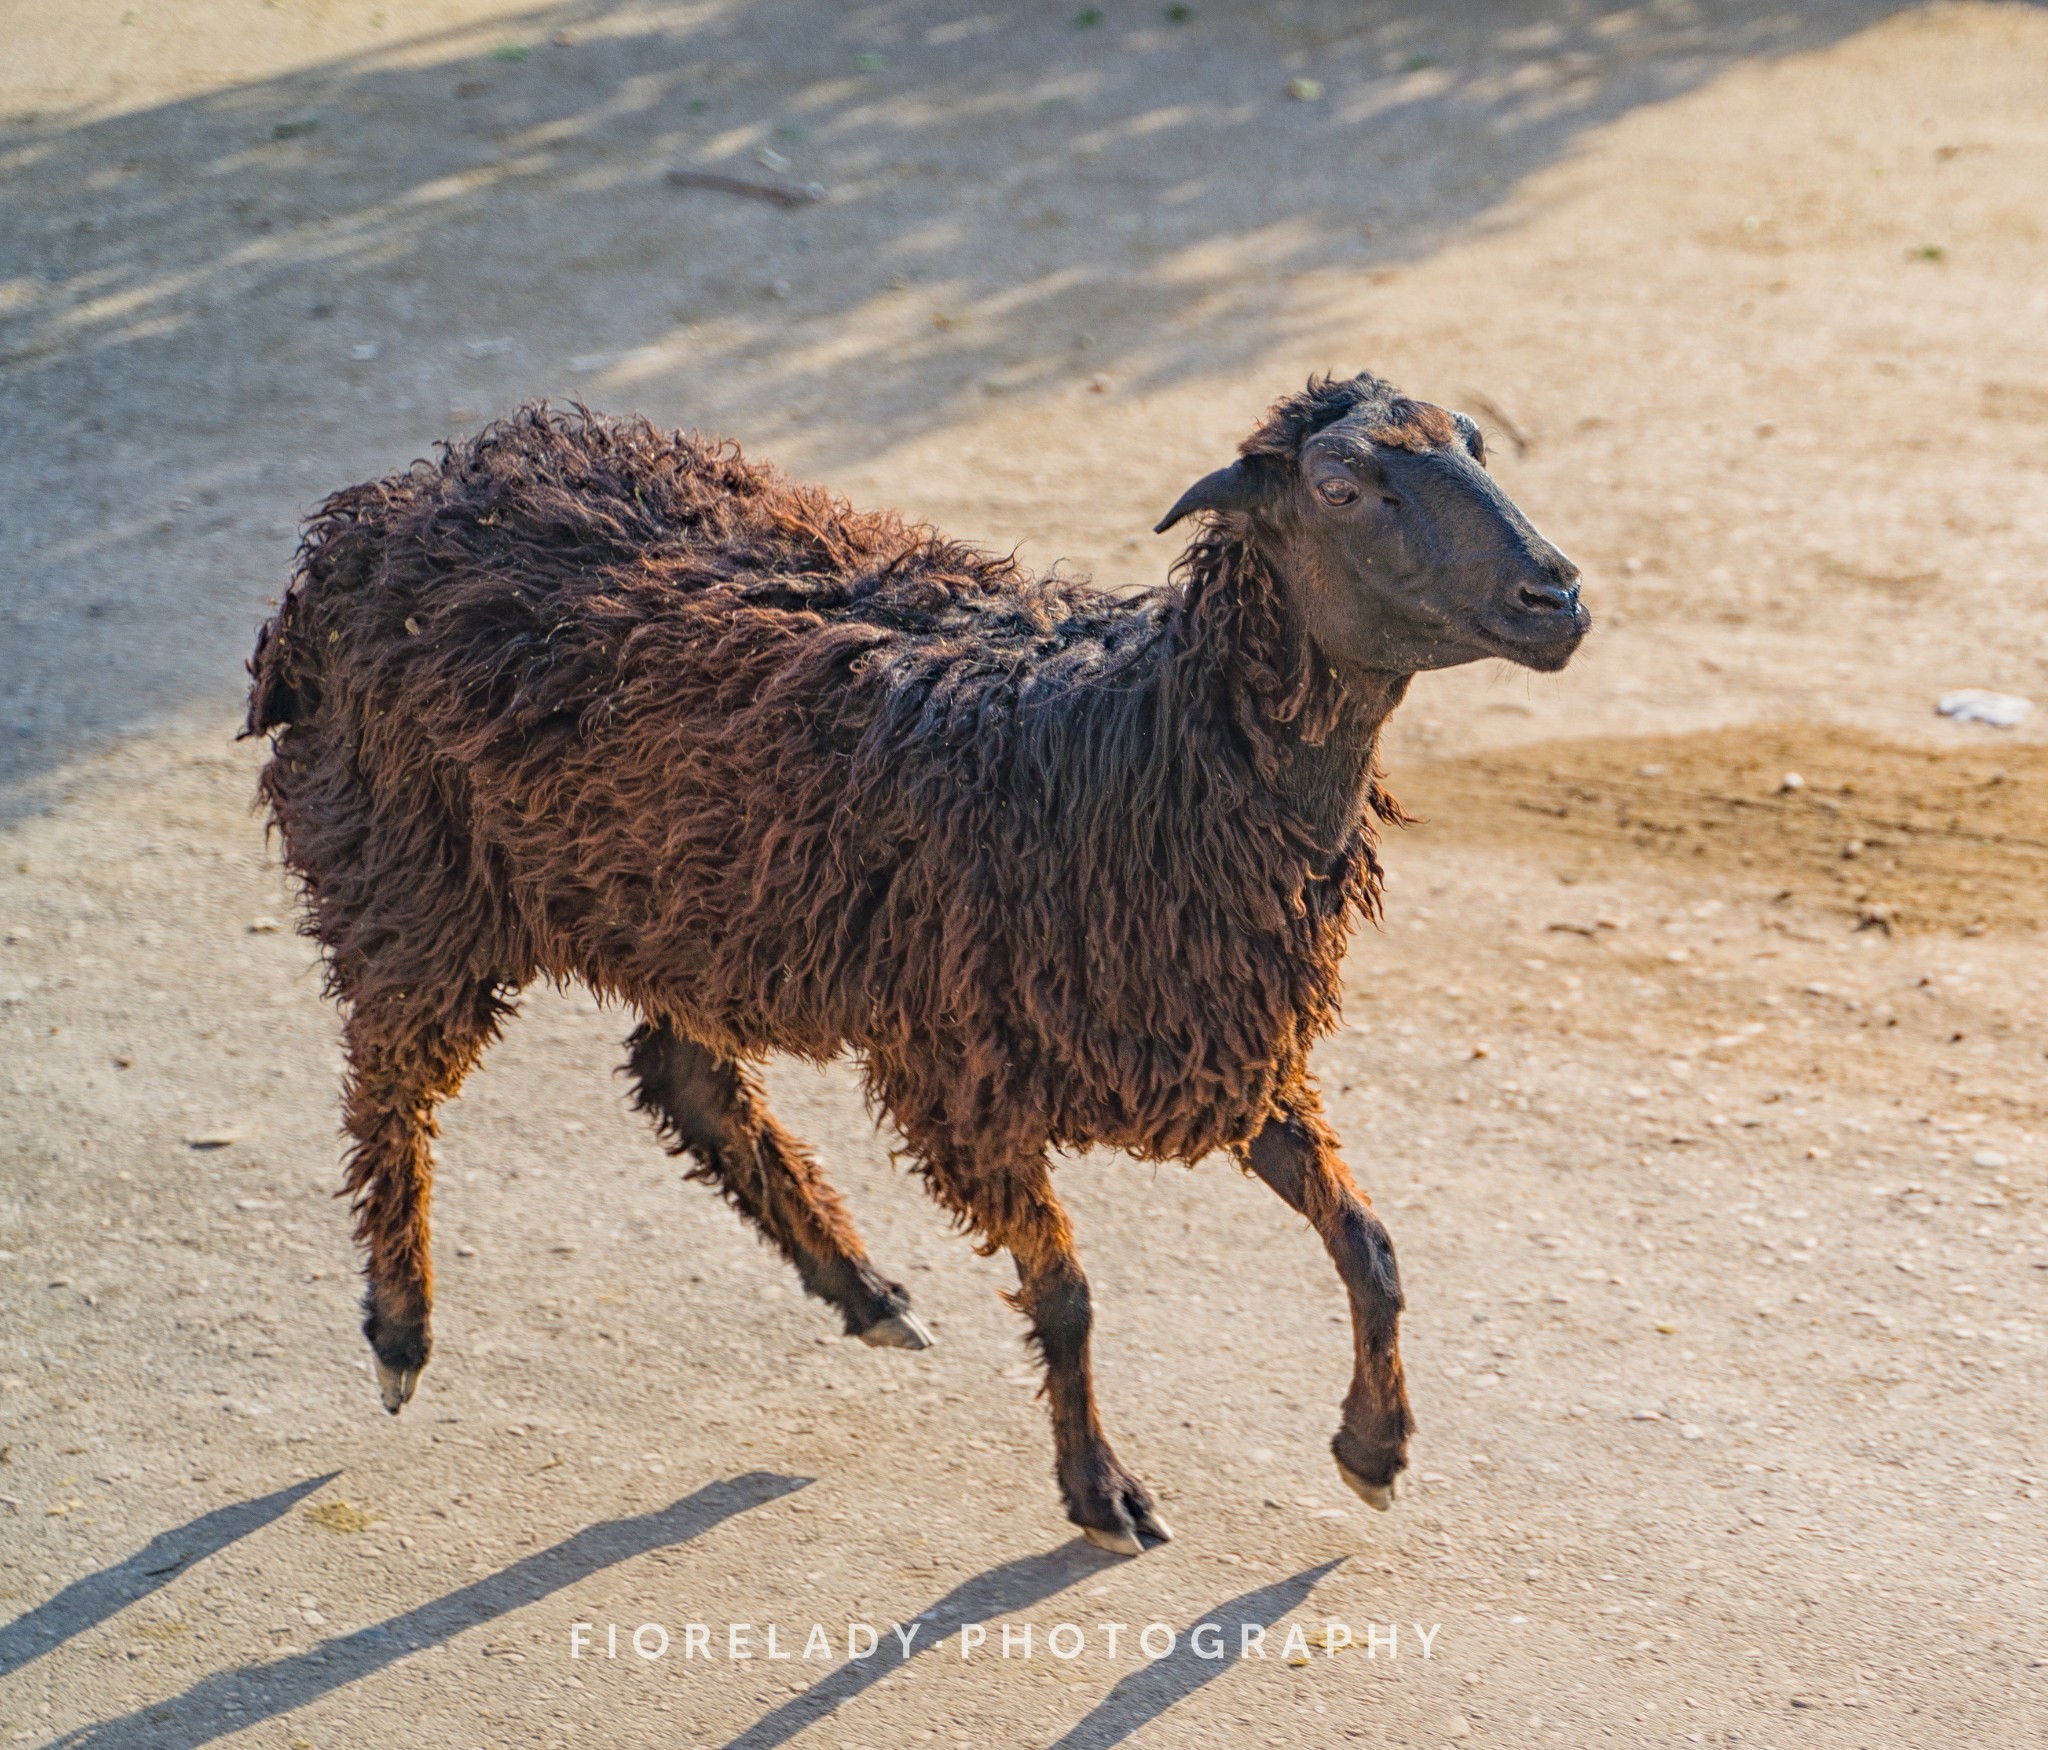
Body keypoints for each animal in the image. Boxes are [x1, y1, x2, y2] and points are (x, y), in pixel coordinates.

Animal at [243, 377, 1581, 1557]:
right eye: (1340, 485)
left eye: (1472, 442)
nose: (1557, 594)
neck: (1124, 745)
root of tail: (390, 503)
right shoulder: (965, 1075)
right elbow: (1067, 1294)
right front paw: (1100, 1492)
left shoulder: (1217, 1042)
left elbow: (1369, 1245)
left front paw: (1374, 1449)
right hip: (415, 870)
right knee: (390, 1087)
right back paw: (399, 1331)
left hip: (698, 904)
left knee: (681, 1075)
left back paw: (864, 1292)